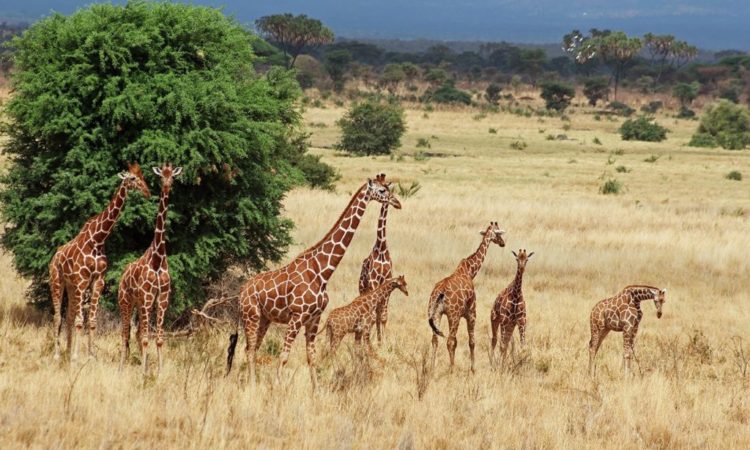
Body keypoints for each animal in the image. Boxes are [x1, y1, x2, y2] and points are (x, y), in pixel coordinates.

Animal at [48, 163, 151, 360]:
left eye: (143, 176)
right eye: (132, 178)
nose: (147, 192)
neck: (97, 239)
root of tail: (54, 257)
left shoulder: (97, 281)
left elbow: (92, 320)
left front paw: (90, 356)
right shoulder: (82, 281)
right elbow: (80, 320)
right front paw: (76, 357)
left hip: (71, 286)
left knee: (69, 316)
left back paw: (67, 350)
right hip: (57, 281)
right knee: (57, 316)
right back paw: (57, 355)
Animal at [117, 163, 182, 374]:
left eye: (173, 176)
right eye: (161, 176)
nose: (167, 186)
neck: (158, 259)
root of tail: (122, 276)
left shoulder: (161, 299)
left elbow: (159, 339)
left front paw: (158, 372)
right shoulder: (147, 297)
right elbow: (146, 338)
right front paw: (143, 373)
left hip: (139, 304)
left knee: (136, 333)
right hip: (125, 301)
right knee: (126, 333)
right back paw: (122, 368)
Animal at [226, 174, 402, 388]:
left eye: (389, 188)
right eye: (382, 190)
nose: (397, 202)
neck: (322, 272)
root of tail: (241, 292)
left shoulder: (314, 318)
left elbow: (312, 357)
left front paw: (316, 389)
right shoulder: (297, 317)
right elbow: (284, 356)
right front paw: (278, 386)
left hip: (264, 319)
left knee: (251, 348)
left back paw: (251, 382)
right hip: (251, 316)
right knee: (250, 349)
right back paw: (252, 385)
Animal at [426, 221, 508, 372]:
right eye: (498, 232)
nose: (503, 243)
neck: (470, 271)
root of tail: (440, 292)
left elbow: (459, 342)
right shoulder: (471, 312)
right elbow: (471, 341)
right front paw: (473, 369)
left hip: (435, 314)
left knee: (435, 340)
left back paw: (432, 368)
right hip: (453, 315)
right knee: (449, 340)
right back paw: (452, 369)